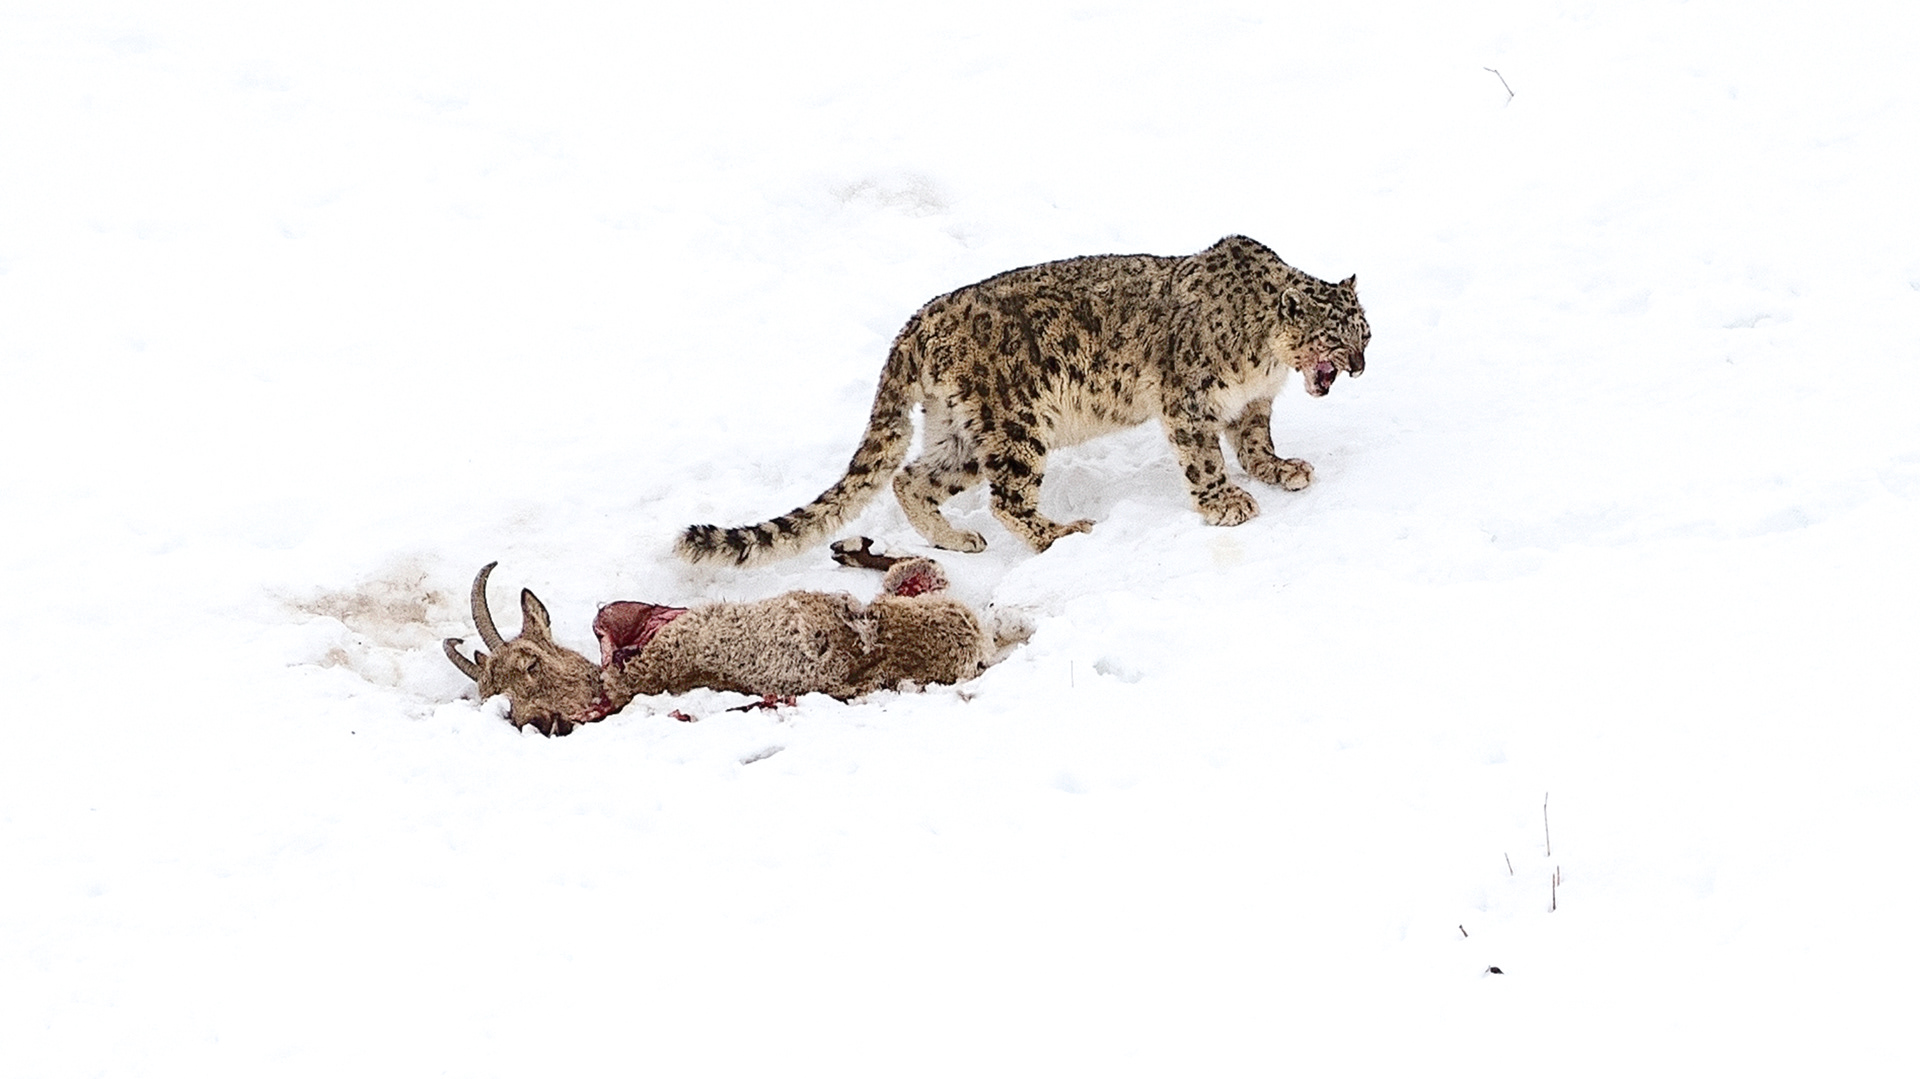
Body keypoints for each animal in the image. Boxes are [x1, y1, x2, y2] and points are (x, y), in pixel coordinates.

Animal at [677, 235, 1368, 566]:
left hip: (960, 431)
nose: (1360, 368)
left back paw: (956, 539)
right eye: (1337, 335)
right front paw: (1227, 502)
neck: (1268, 361)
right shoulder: (1188, 401)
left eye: (1367, 332)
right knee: (1005, 498)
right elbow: (1204, 457)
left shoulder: (1253, 405)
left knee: (910, 477)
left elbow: (1254, 444)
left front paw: (1282, 469)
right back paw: (1063, 532)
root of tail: (916, 325)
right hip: (1017, 423)